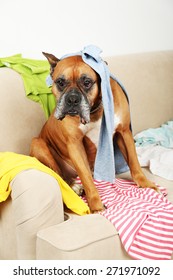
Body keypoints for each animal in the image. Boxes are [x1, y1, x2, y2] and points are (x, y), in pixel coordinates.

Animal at [30, 52, 158, 212]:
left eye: (87, 82)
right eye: (60, 82)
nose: (72, 99)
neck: (95, 110)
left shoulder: (124, 132)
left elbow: (134, 163)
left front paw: (146, 185)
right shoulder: (75, 145)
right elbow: (86, 179)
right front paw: (96, 206)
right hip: (38, 143)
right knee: (59, 174)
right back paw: (74, 186)